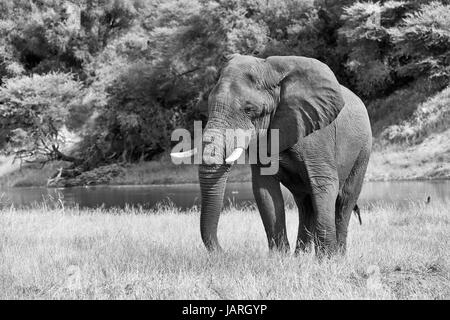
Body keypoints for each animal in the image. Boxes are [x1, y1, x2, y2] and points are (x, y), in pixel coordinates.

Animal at [171, 53, 370, 256]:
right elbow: (265, 190)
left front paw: (327, 259)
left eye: (249, 109)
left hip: (363, 150)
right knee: (306, 203)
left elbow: (323, 184)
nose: (224, 252)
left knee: (344, 201)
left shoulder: (317, 133)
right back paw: (301, 256)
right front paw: (279, 257)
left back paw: (338, 255)